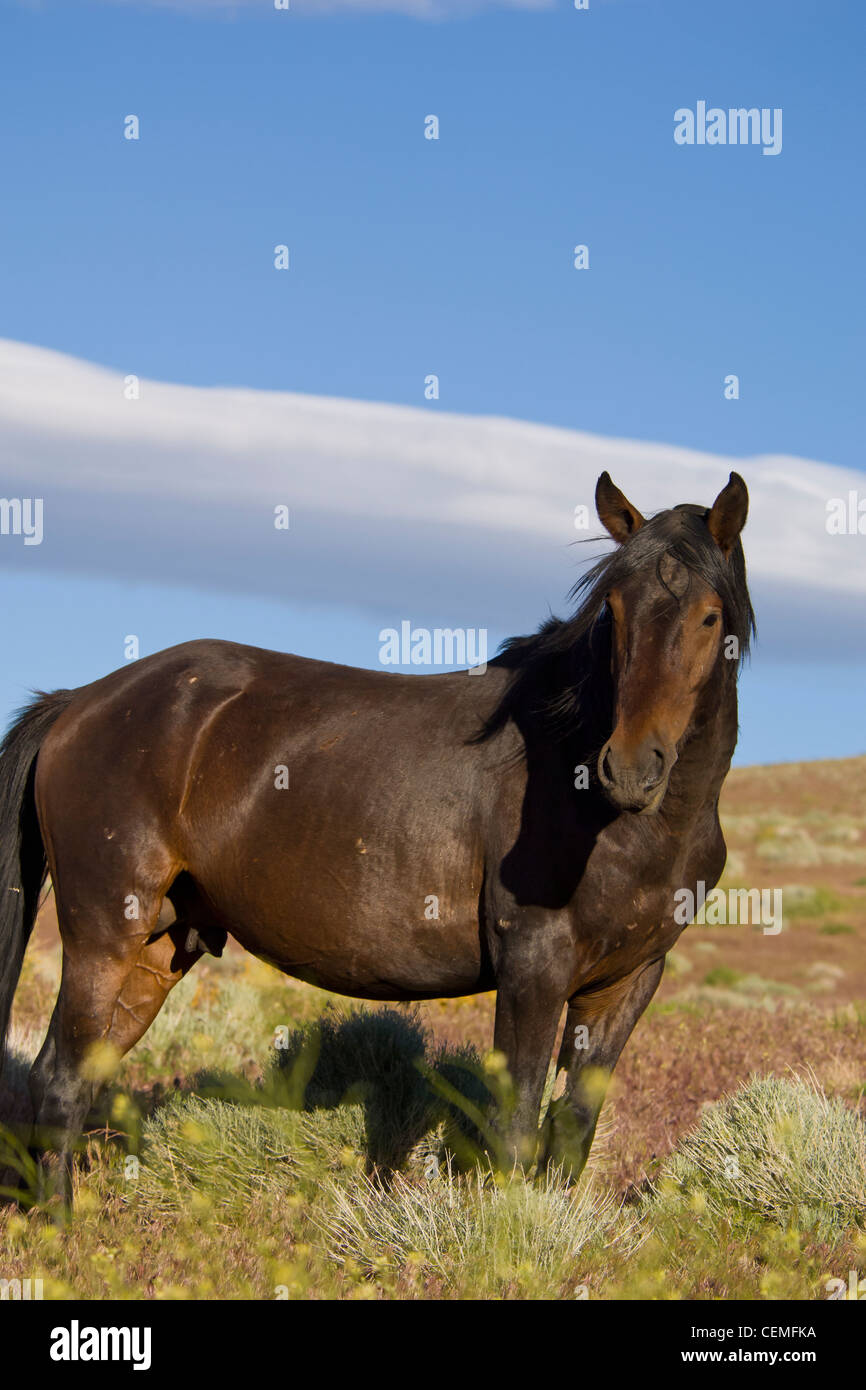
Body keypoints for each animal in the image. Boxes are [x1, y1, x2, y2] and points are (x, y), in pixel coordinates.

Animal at [0, 470, 753, 1202]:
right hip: (104, 934)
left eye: (709, 616)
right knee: (57, 1081)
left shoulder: (626, 983)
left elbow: (569, 1136)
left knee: (79, 1078)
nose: (628, 768)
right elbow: (512, 1133)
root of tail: (79, 701)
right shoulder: (533, 969)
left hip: (157, 949)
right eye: (614, 613)